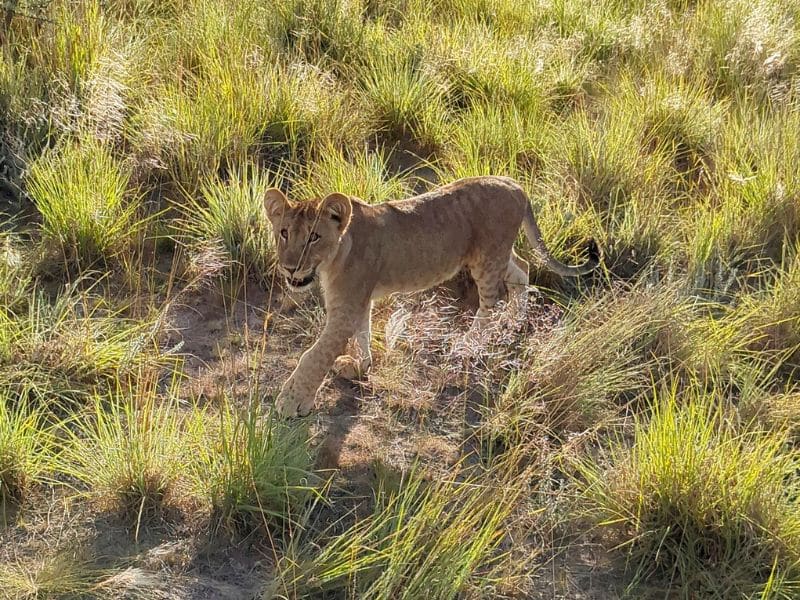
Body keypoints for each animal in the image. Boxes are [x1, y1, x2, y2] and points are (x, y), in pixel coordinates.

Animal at [265, 176, 599, 417]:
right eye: (284, 233)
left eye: (314, 237)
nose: (289, 266)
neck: (333, 256)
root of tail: (514, 184)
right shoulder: (358, 300)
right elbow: (363, 332)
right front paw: (361, 365)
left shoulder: (346, 307)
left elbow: (316, 355)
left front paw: (291, 402)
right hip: (499, 255)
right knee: (523, 269)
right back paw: (517, 321)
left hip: (487, 258)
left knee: (491, 303)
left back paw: (469, 344)